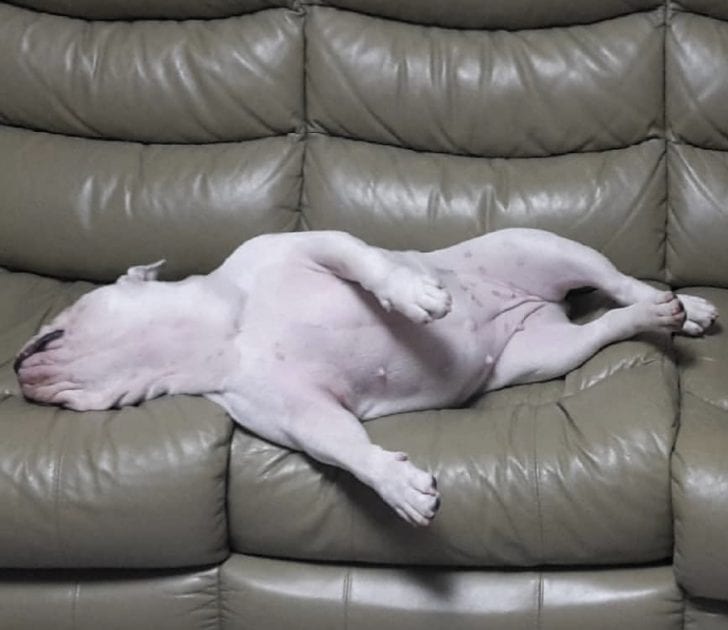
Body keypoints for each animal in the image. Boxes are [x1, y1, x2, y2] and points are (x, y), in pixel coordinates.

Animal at [14, 230, 720, 524]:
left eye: (54, 327)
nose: (15, 368)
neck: (220, 332)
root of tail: (538, 306)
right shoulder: (299, 412)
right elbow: (345, 447)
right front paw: (399, 487)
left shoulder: (305, 245)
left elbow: (361, 259)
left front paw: (413, 296)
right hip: (549, 352)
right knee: (607, 323)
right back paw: (656, 315)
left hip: (542, 246)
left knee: (616, 280)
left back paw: (682, 306)